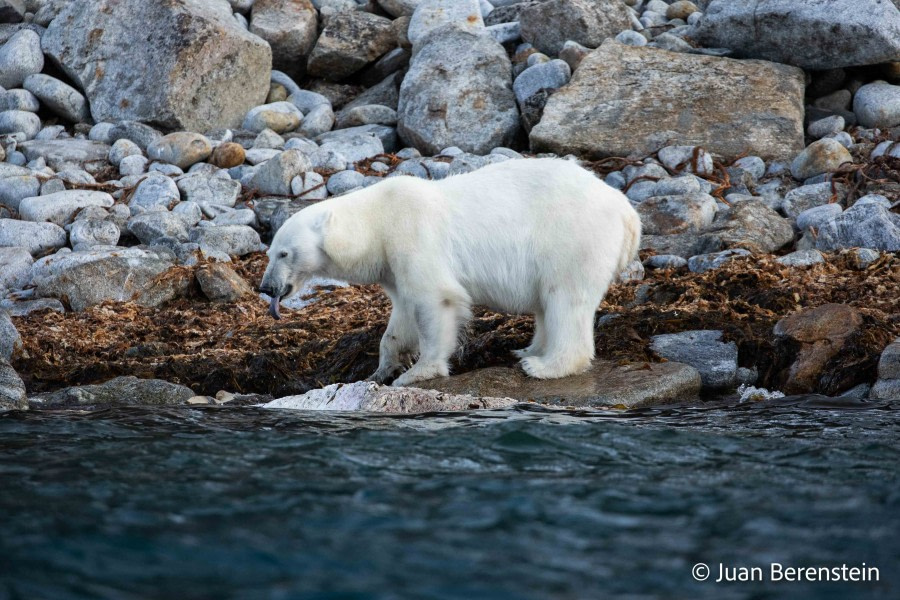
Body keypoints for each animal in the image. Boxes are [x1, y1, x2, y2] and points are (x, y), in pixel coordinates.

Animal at [258, 157, 640, 386]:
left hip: (571, 238)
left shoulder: (412, 235)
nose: (266, 287)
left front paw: (417, 373)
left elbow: (435, 299)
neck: (378, 221)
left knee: (565, 298)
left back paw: (546, 366)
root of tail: (627, 212)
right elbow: (402, 313)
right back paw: (528, 352)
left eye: (284, 252)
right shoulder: (392, 264)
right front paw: (382, 367)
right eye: (269, 251)